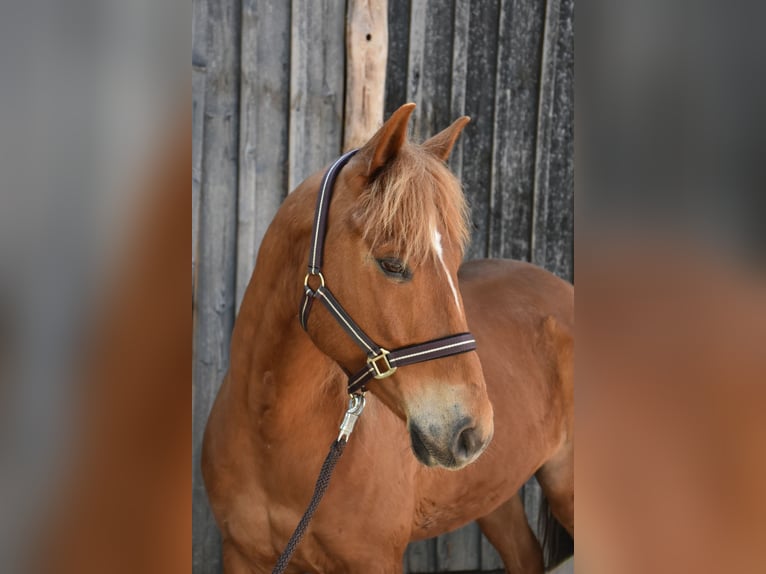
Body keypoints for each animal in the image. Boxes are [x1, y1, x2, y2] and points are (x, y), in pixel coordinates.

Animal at [202, 103, 574, 573]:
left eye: (456, 262)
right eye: (392, 264)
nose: (472, 431)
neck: (269, 434)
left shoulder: (374, 560)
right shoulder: (241, 554)